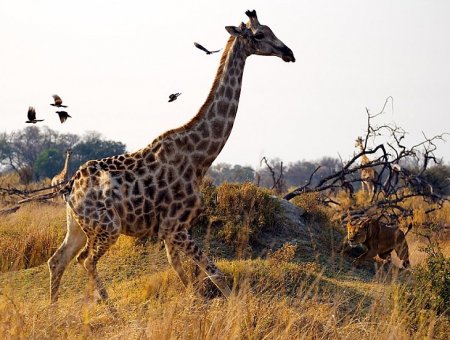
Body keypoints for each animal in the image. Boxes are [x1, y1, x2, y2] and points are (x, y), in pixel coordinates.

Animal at [48, 9, 296, 302]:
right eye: (259, 34)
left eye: (271, 30)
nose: (289, 52)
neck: (200, 157)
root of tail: (70, 187)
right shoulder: (174, 226)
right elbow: (215, 273)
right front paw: (237, 309)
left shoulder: (171, 230)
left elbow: (184, 273)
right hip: (108, 226)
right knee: (86, 260)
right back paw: (110, 308)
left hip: (77, 225)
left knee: (58, 260)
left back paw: (53, 310)